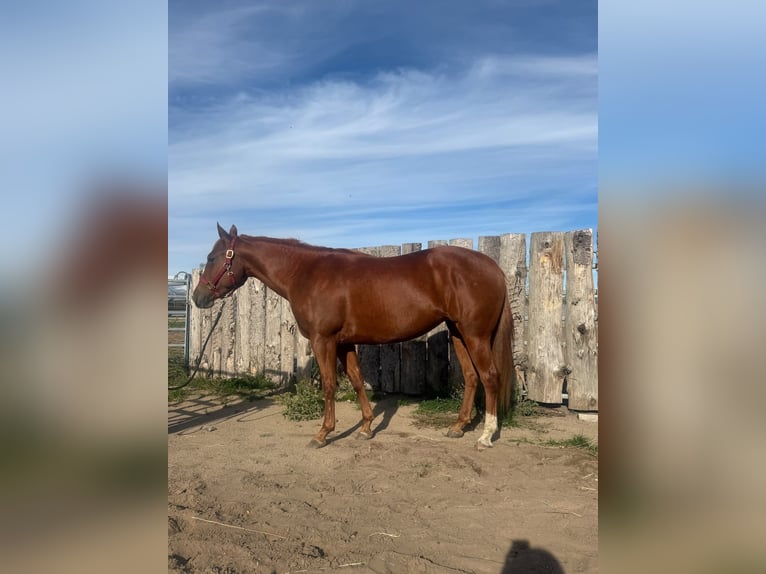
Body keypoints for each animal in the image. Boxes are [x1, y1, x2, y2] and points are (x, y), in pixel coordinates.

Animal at [192, 223, 514, 450]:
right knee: (472, 377)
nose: (198, 297)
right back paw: (458, 427)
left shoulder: (323, 340)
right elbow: (357, 381)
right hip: (458, 333)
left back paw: (486, 436)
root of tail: (493, 267)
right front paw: (366, 428)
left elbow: (330, 386)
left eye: (212, 257)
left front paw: (323, 434)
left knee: (489, 377)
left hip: (475, 335)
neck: (306, 273)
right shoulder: (344, 342)